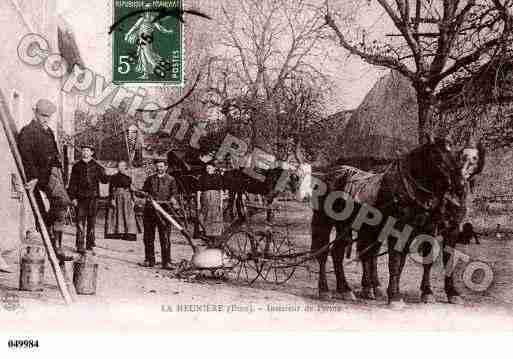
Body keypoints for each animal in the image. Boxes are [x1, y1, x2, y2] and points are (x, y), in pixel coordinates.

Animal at [310, 138, 470, 306]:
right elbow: (395, 261)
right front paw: (396, 296)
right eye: (436, 156)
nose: (460, 185)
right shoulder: (405, 229)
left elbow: (445, 261)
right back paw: (325, 290)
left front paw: (451, 293)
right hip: (324, 222)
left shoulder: (447, 230)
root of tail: (330, 172)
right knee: (323, 253)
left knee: (342, 252)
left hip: (351, 226)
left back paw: (349, 289)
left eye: (456, 155)